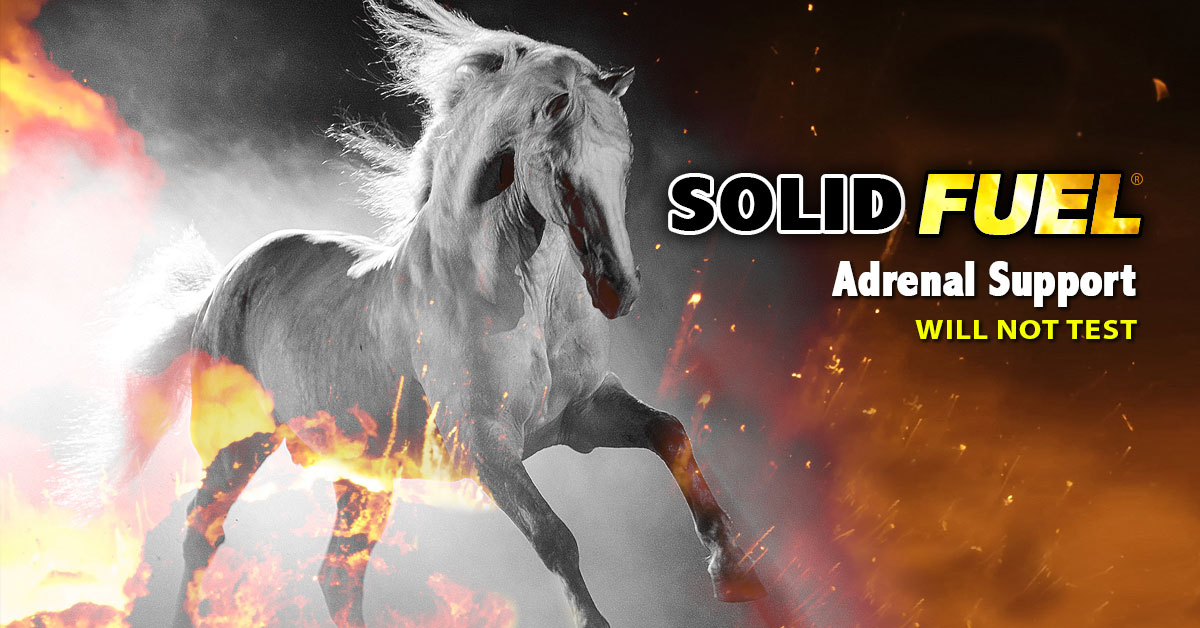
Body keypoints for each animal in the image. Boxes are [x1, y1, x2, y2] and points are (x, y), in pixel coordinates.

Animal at [116, 2, 765, 626]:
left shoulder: (580, 415)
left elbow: (670, 433)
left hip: (362, 476)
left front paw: (734, 575)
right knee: (202, 537)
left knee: (337, 575)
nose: (617, 289)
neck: (520, 299)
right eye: (560, 169)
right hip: (238, 444)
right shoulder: (485, 443)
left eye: (624, 161)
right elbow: (554, 536)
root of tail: (223, 285)